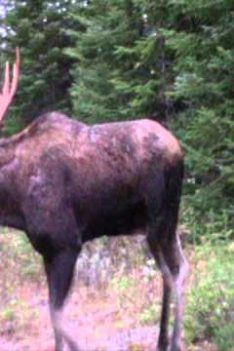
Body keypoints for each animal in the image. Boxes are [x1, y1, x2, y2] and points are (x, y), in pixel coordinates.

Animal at [0, 49, 189, 351]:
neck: (14, 205)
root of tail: (178, 149)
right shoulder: (47, 251)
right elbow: (55, 315)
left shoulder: (66, 243)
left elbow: (56, 314)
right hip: (155, 227)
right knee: (170, 271)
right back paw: (162, 340)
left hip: (162, 218)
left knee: (177, 269)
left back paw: (174, 341)